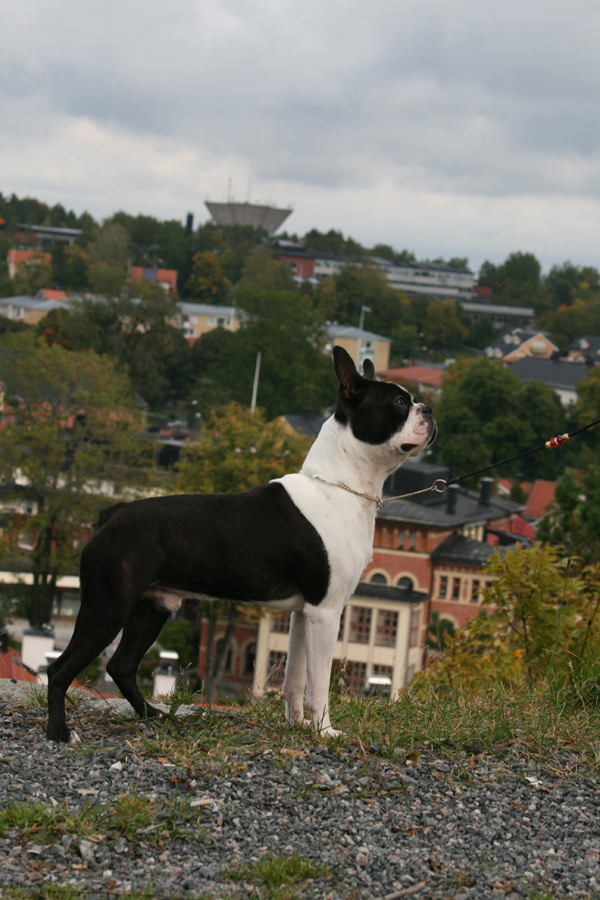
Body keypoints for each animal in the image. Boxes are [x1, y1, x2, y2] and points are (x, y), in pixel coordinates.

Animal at [46, 346, 436, 743]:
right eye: (400, 402)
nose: (429, 409)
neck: (341, 486)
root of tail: (110, 513)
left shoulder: (303, 613)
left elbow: (294, 678)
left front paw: (296, 725)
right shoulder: (326, 612)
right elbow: (319, 683)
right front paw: (324, 730)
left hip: (151, 607)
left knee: (121, 665)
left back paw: (152, 715)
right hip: (108, 607)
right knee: (61, 669)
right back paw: (61, 732)